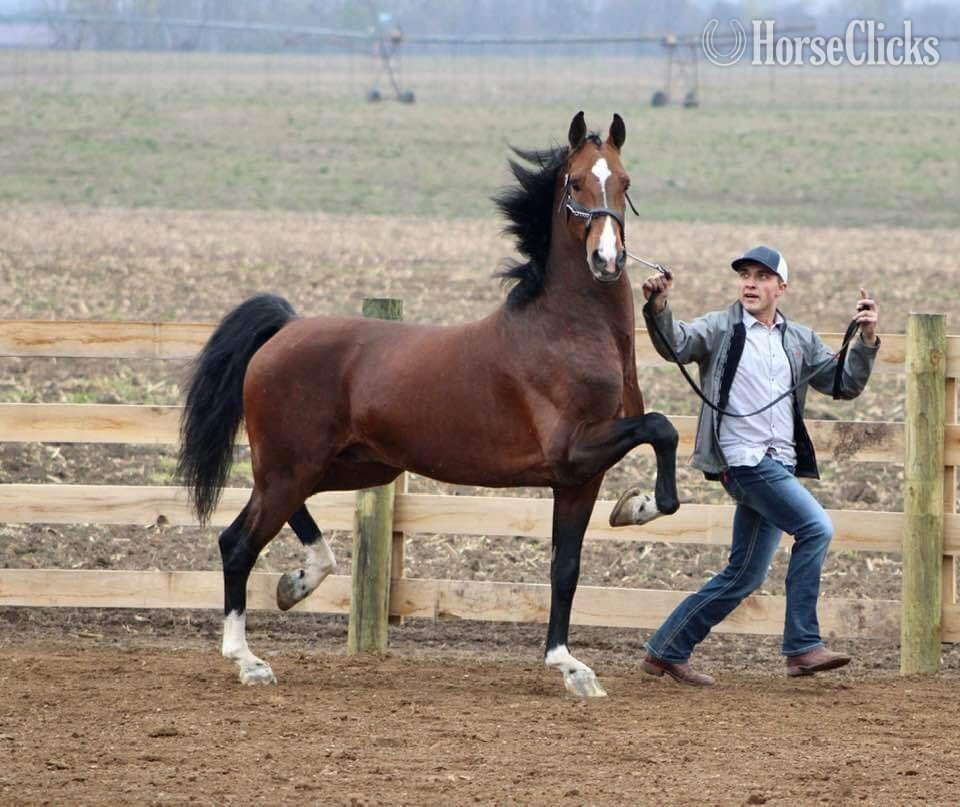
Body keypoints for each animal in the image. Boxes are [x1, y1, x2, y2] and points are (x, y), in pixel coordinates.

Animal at [176, 111, 680, 698]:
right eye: (576, 183)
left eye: (624, 182)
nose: (607, 259)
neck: (568, 331)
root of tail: (286, 328)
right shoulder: (575, 450)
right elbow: (662, 428)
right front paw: (638, 508)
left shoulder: (580, 478)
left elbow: (566, 568)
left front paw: (571, 664)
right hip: (292, 466)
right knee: (237, 543)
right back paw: (248, 659)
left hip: (347, 466)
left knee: (263, 525)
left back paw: (297, 581)